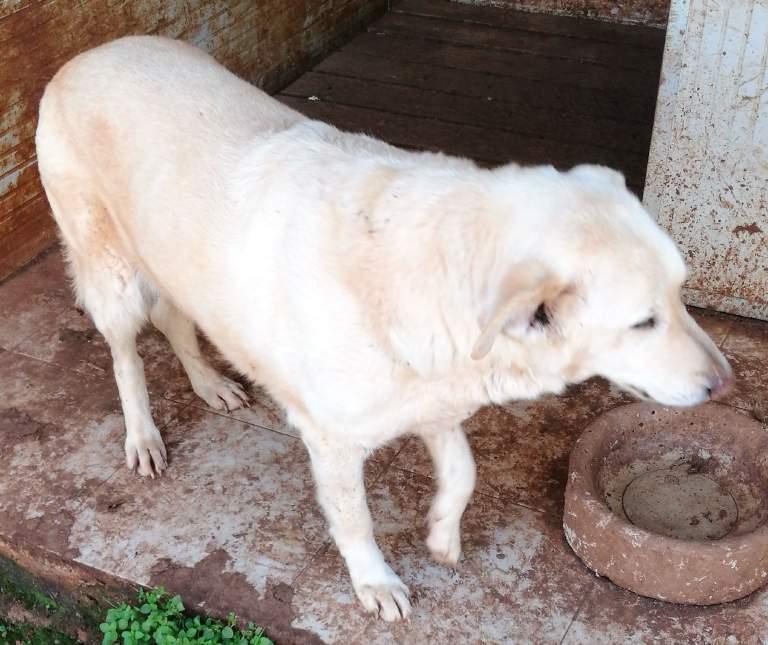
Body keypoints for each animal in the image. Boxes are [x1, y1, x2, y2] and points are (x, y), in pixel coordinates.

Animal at [36, 35, 732, 620]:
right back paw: (143, 437)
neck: (427, 275)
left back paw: (210, 383)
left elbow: (464, 469)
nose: (725, 385)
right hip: (111, 276)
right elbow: (355, 521)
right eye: (643, 321)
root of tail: (85, 55)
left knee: (174, 316)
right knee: (125, 353)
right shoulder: (331, 440)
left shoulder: (434, 398)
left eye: (682, 293)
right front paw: (375, 582)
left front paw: (443, 534)